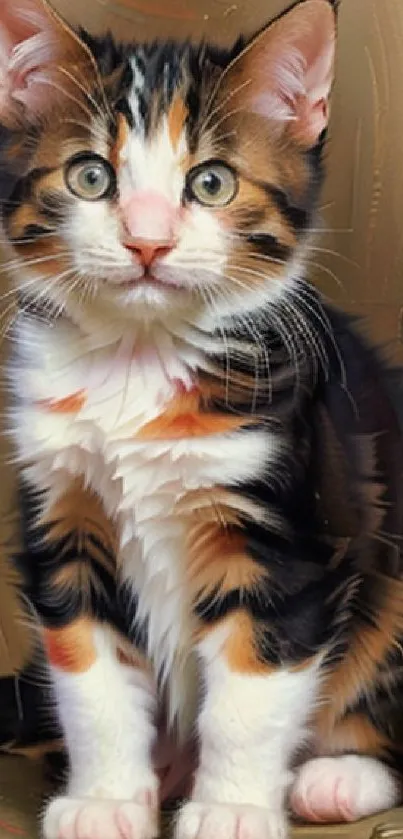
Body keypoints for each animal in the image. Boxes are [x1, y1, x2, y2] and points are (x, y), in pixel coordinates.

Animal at [2, 0, 403, 836]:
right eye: (91, 176)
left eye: (210, 183)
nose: (147, 241)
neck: (139, 358)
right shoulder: (62, 516)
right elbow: (89, 678)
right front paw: (105, 797)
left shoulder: (286, 536)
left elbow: (248, 694)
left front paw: (231, 808)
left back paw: (336, 775)